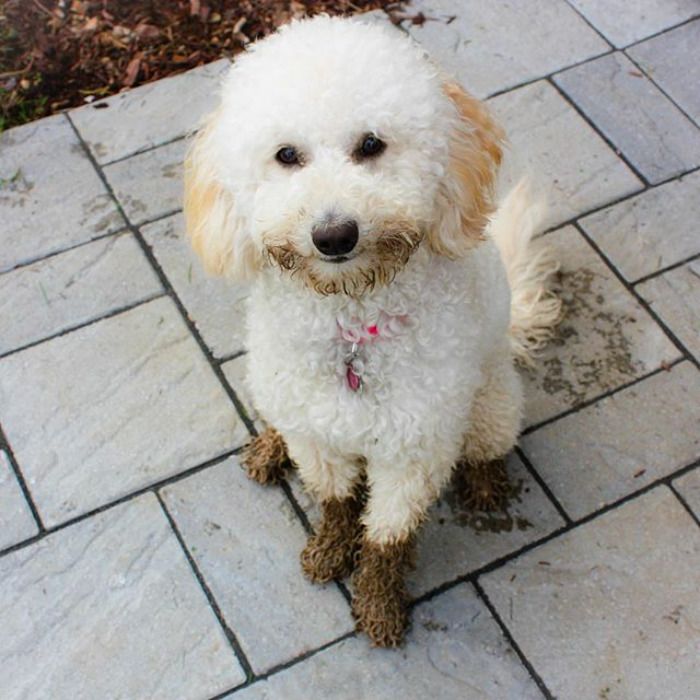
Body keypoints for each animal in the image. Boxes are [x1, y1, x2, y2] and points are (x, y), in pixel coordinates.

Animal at [183, 16, 560, 648]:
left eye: (371, 145)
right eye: (286, 155)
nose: (334, 235)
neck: (351, 321)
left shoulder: (414, 451)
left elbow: (388, 537)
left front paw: (380, 603)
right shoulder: (317, 436)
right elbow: (334, 500)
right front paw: (331, 550)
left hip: (493, 403)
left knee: (487, 446)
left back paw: (486, 485)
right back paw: (270, 444)